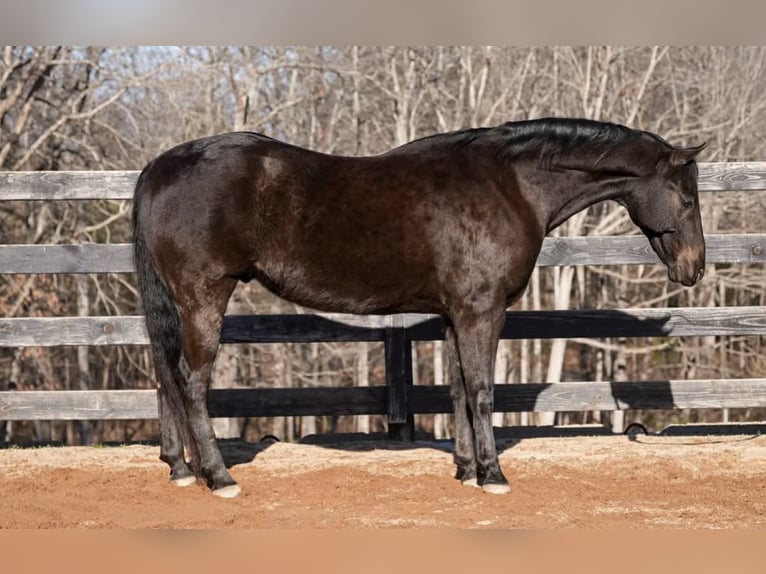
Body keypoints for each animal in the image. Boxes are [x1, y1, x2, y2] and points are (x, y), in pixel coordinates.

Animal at [132, 117, 706, 498]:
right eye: (687, 199)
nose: (695, 268)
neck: (510, 186)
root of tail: (159, 167)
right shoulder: (482, 310)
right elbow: (481, 390)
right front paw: (494, 476)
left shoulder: (456, 314)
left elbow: (457, 390)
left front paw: (466, 470)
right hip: (205, 296)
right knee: (191, 381)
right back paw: (219, 477)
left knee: (165, 375)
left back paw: (179, 468)